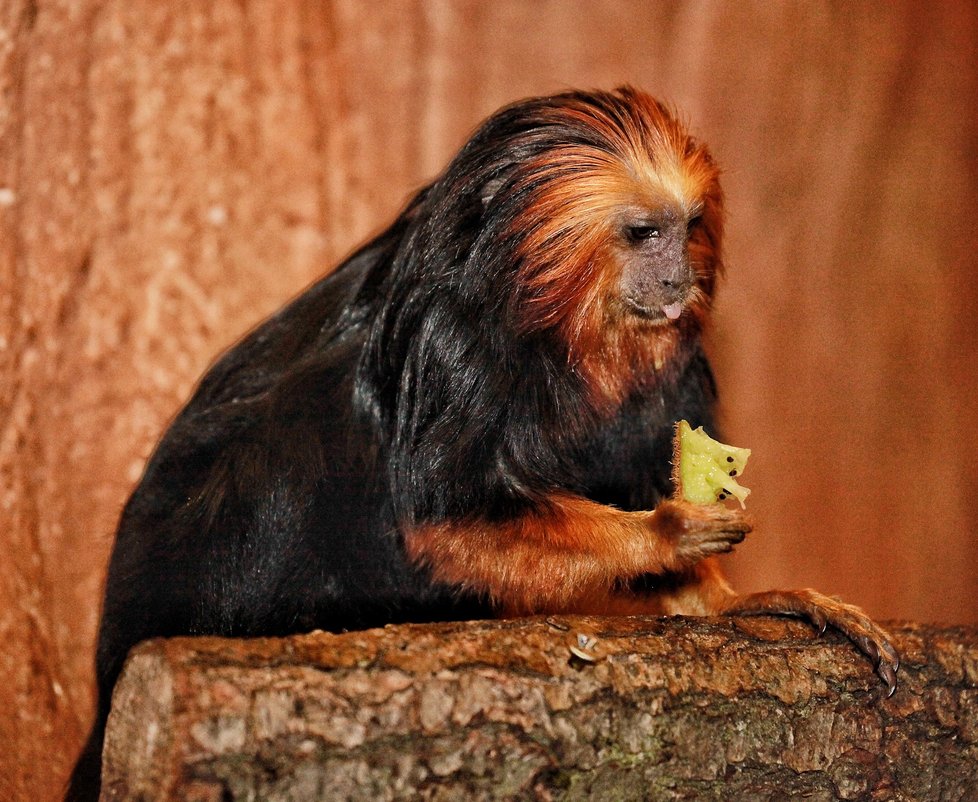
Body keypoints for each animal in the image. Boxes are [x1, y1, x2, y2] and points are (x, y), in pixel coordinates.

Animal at [65, 87, 896, 800]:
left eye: (689, 228)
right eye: (643, 233)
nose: (677, 281)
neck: (560, 326)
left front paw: (727, 600)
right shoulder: (451, 348)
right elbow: (448, 520)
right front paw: (664, 531)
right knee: (276, 456)